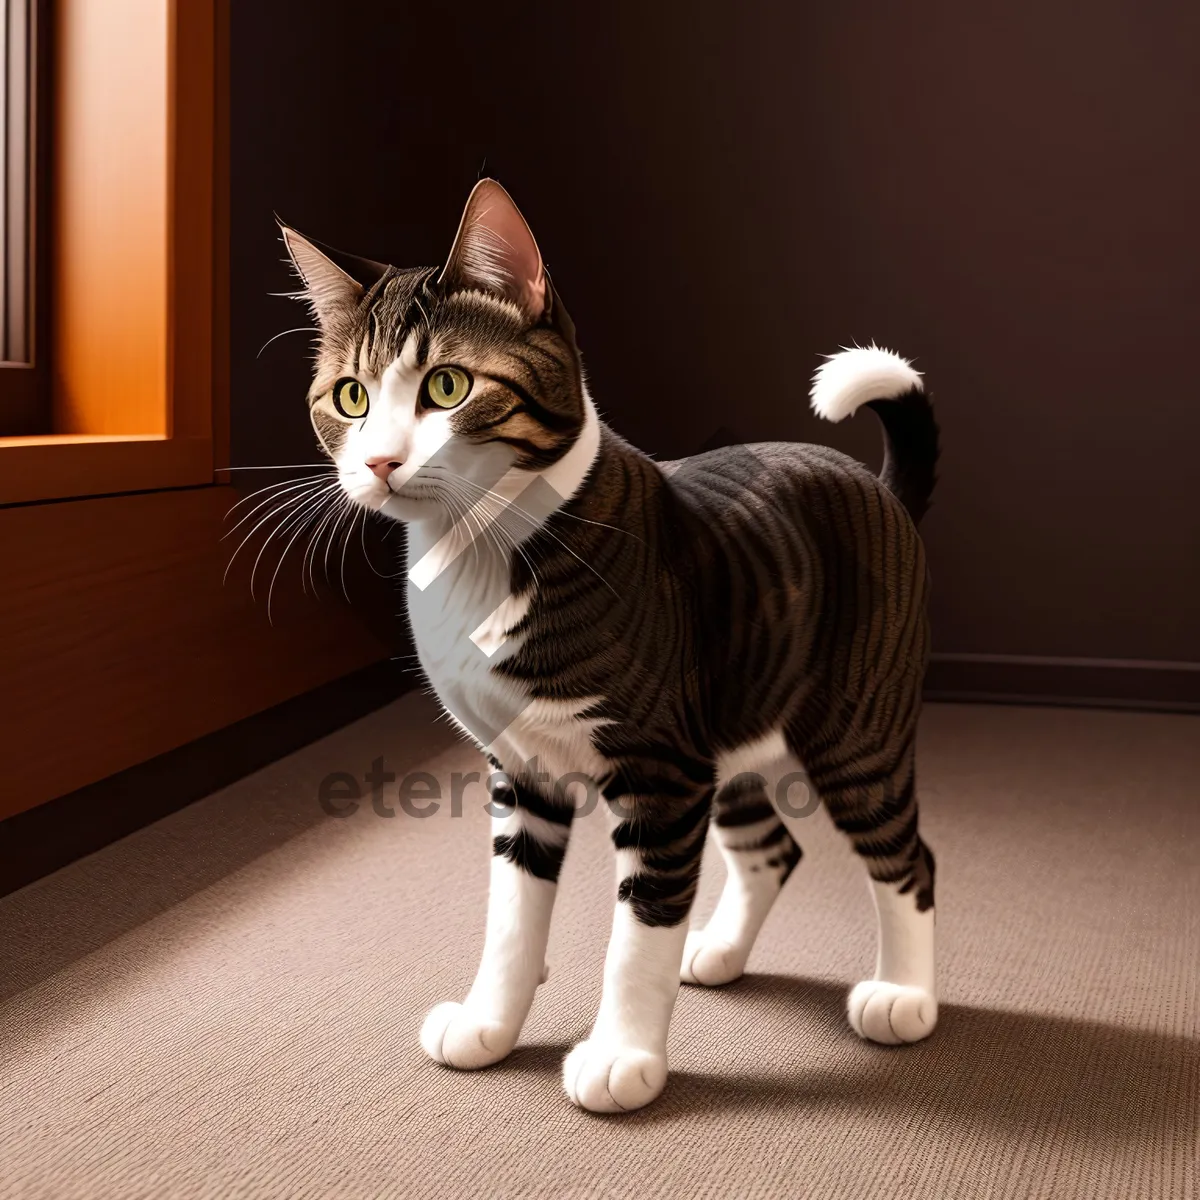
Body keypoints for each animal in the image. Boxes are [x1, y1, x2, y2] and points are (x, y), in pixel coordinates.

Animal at [278, 180, 936, 1113]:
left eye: (447, 385)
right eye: (350, 399)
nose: (378, 463)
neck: (478, 555)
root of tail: (873, 484)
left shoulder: (662, 772)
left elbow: (640, 929)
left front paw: (623, 1056)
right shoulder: (522, 771)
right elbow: (510, 920)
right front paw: (489, 1024)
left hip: (853, 730)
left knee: (907, 858)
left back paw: (904, 998)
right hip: (730, 721)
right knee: (773, 848)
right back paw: (721, 952)